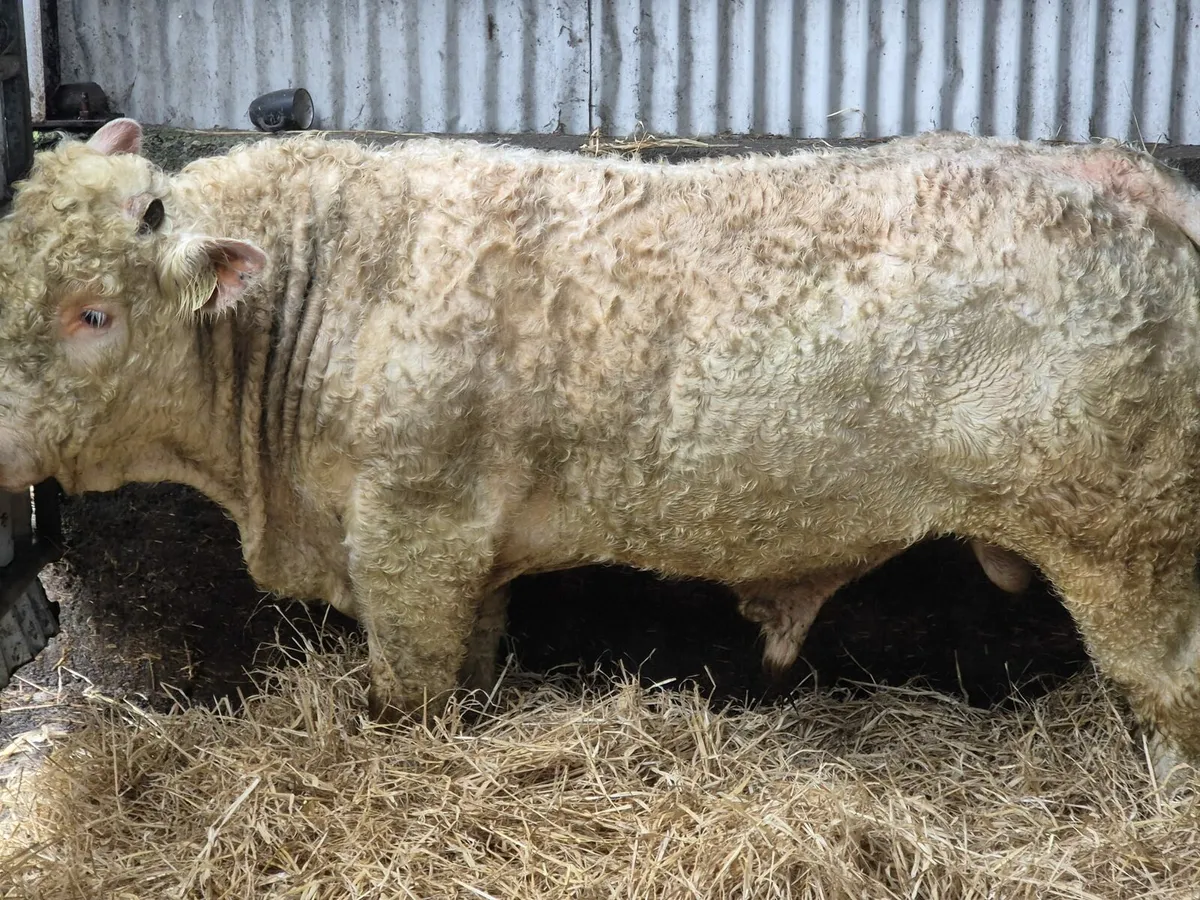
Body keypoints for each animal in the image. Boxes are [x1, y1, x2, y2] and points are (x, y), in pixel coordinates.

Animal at [0, 118, 1196, 786]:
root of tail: (1127, 177)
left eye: (92, 314)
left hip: (1129, 543)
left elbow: (410, 694)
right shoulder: (464, 553)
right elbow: (474, 670)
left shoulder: (410, 532)